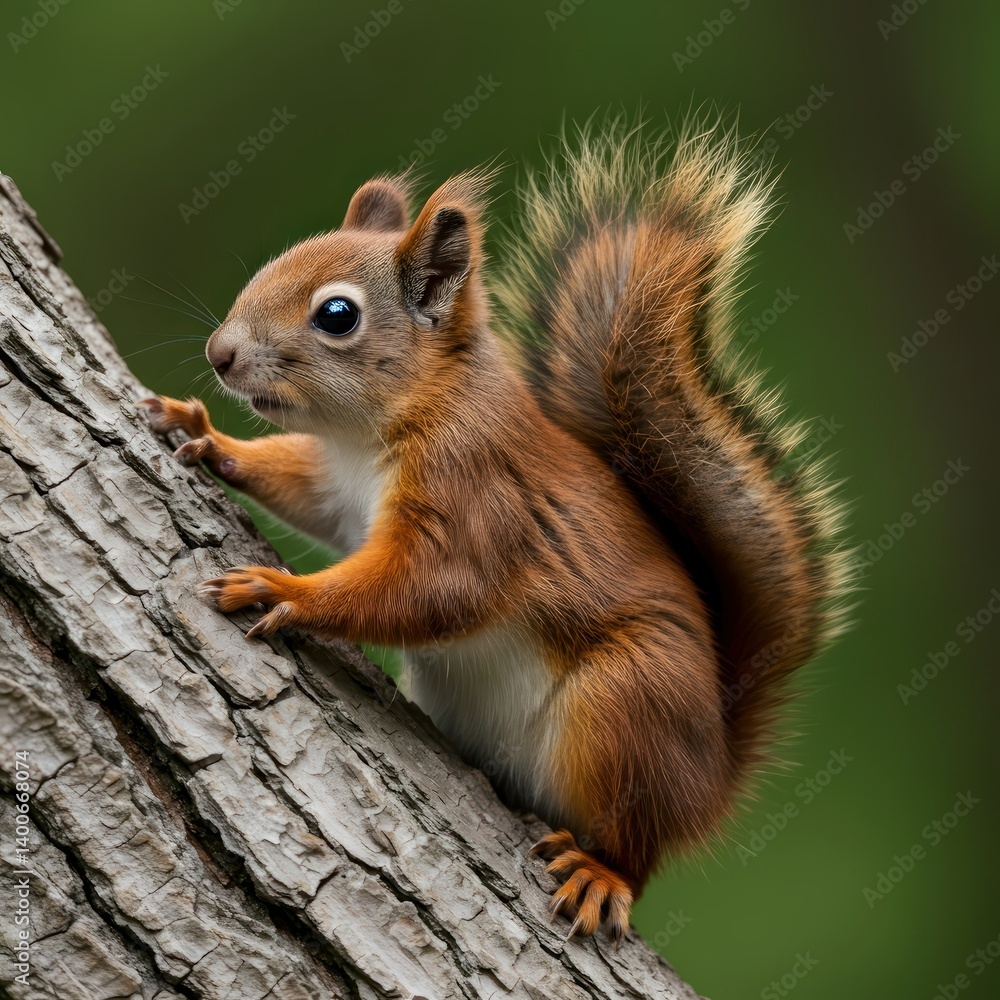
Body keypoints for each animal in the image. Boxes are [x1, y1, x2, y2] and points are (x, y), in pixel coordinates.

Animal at [140, 118, 849, 944]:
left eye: (337, 315)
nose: (220, 354)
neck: (384, 426)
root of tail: (711, 778)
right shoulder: (336, 488)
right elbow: (301, 492)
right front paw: (203, 434)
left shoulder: (475, 496)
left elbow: (435, 590)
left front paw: (279, 587)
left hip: (629, 704)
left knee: (638, 847)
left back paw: (603, 872)